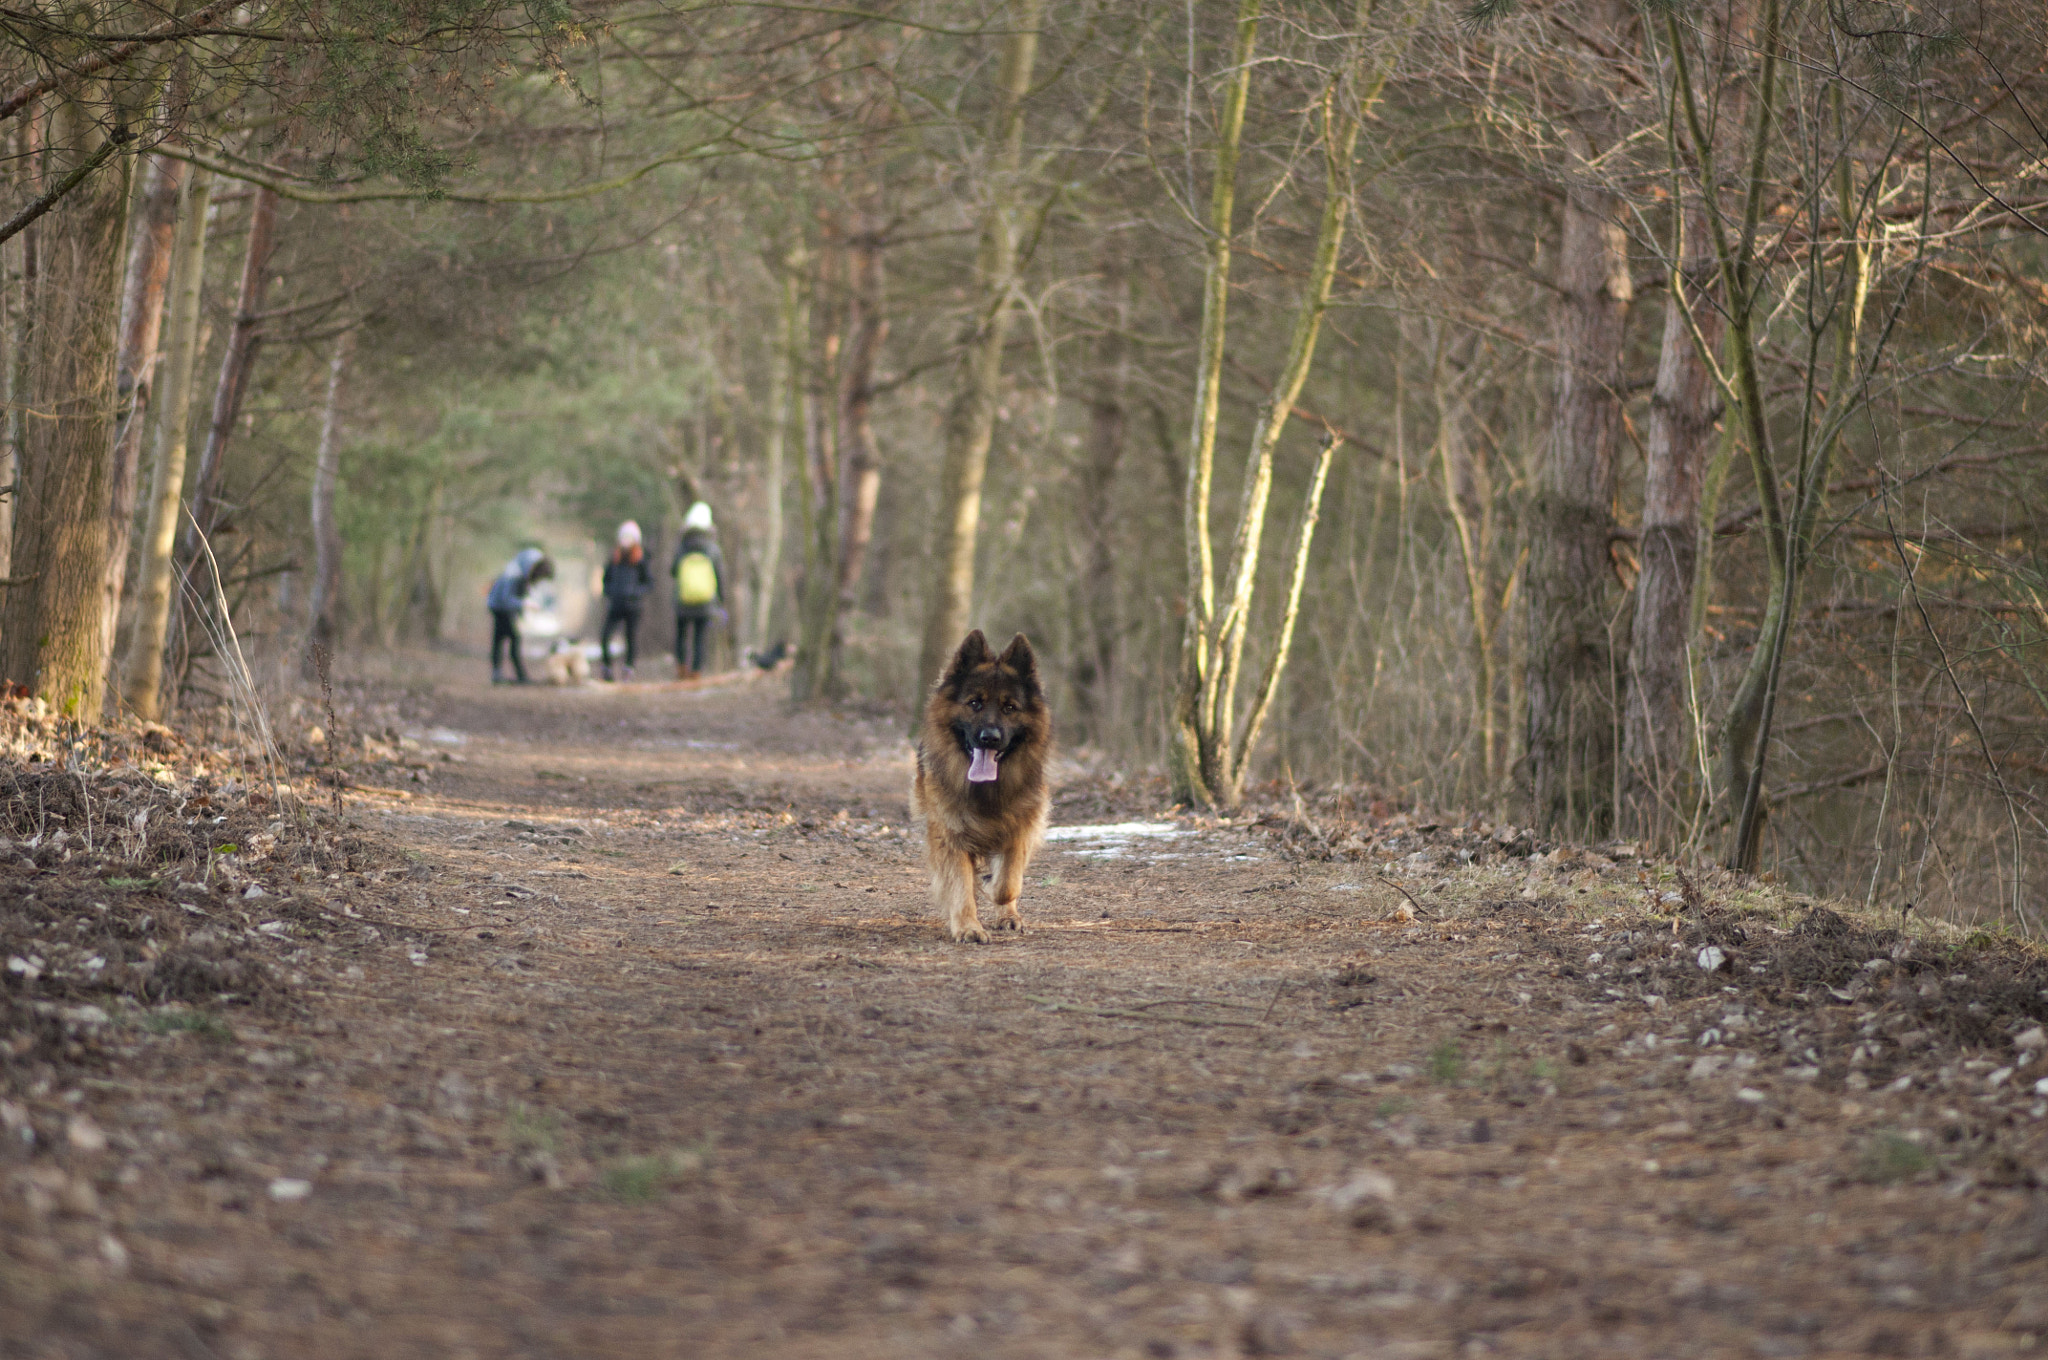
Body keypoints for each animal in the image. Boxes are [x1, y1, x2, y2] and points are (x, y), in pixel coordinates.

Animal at [921, 630, 1064, 942]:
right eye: (975, 703)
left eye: (1009, 708)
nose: (989, 737)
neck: (986, 790)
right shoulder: (950, 836)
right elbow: (962, 887)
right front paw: (968, 927)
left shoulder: (1020, 828)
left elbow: (1007, 884)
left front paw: (993, 891)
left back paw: (1008, 915)